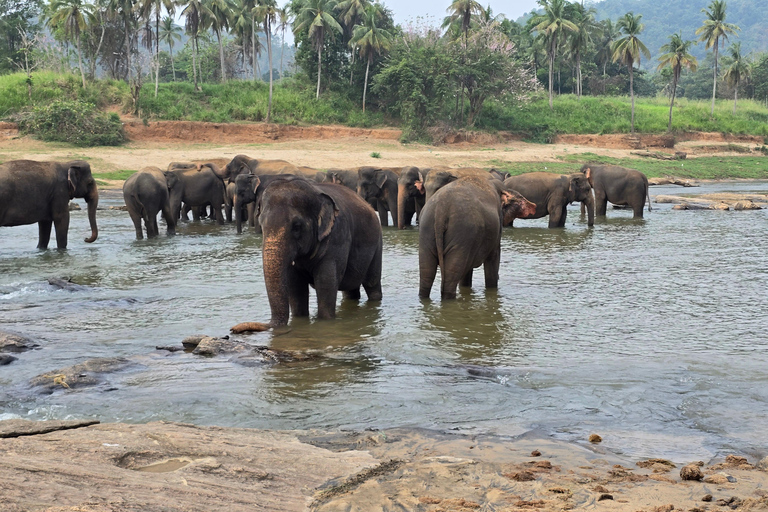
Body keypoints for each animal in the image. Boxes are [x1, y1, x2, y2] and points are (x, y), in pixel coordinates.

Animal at [230, 177, 383, 332]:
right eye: (261, 226)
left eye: (297, 227)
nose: (233, 329)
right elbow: (295, 285)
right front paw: (300, 320)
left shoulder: (337, 237)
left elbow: (326, 282)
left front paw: (325, 323)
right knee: (350, 291)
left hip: (377, 243)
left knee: (372, 284)